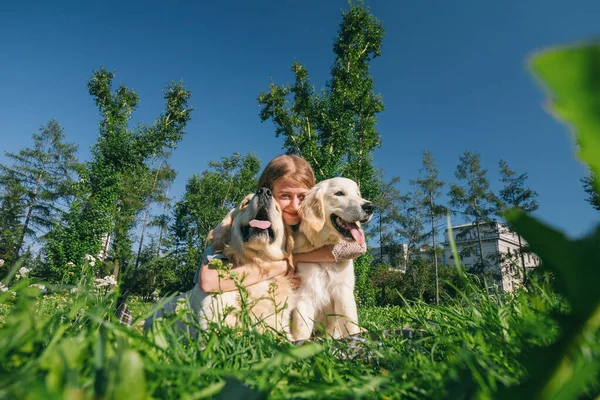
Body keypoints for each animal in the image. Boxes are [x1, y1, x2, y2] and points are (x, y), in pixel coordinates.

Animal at [292, 178, 372, 340]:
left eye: (357, 194)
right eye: (339, 193)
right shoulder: (304, 296)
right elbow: (301, 331)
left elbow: (350, 326)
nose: (370, 207)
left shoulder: (343, 293)